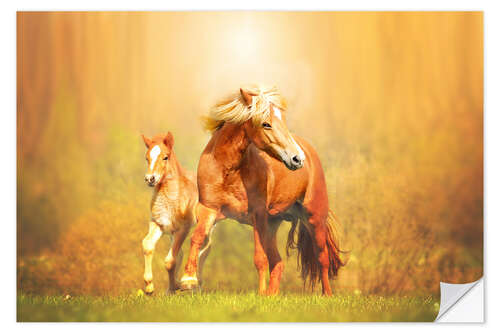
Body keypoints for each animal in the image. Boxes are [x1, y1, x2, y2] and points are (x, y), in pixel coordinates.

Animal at [141, 132, 213, 294]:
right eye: (147, 158)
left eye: (165, 157)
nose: (150, 179)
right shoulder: (158, 224)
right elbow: (148, 245)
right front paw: (150, 287)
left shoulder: (183, 229)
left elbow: (170, 261)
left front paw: (178, 285)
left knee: (206, 247)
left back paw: (196, 282)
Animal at [180, 84, 344, 294]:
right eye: (266, 124)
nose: (297, 159)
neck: (228, 170)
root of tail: (309, 151)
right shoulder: (208, 209)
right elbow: (197, 237)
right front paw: (188, 280)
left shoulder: (257, 215)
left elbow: (259, 259)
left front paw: (259, 294)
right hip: (273, 224)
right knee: (278, 263)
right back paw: (272, 295)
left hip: (315, 217)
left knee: (322, 258)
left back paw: (326, 295)